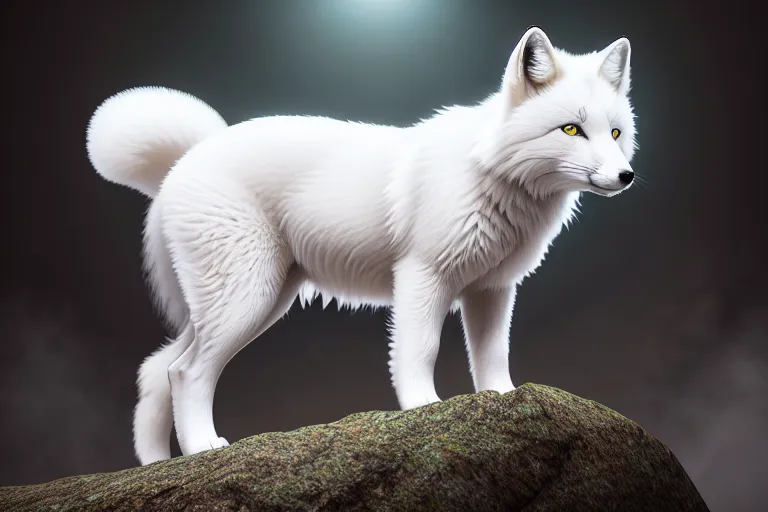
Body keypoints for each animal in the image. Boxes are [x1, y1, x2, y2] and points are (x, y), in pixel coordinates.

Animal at [86, 27, 637, 465]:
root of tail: (189, 155)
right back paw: (202, 448)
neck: (490, 172)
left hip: (255, 302)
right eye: (571, 129)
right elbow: (420, 350)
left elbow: (492, 358)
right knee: (185, 371)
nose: (626, 176)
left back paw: (156, 466)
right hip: (247, 299)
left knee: (155, 369)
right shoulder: (422, 278)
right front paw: (422, 409)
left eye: (615, 133)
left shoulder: (492, 290)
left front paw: (502, 402)